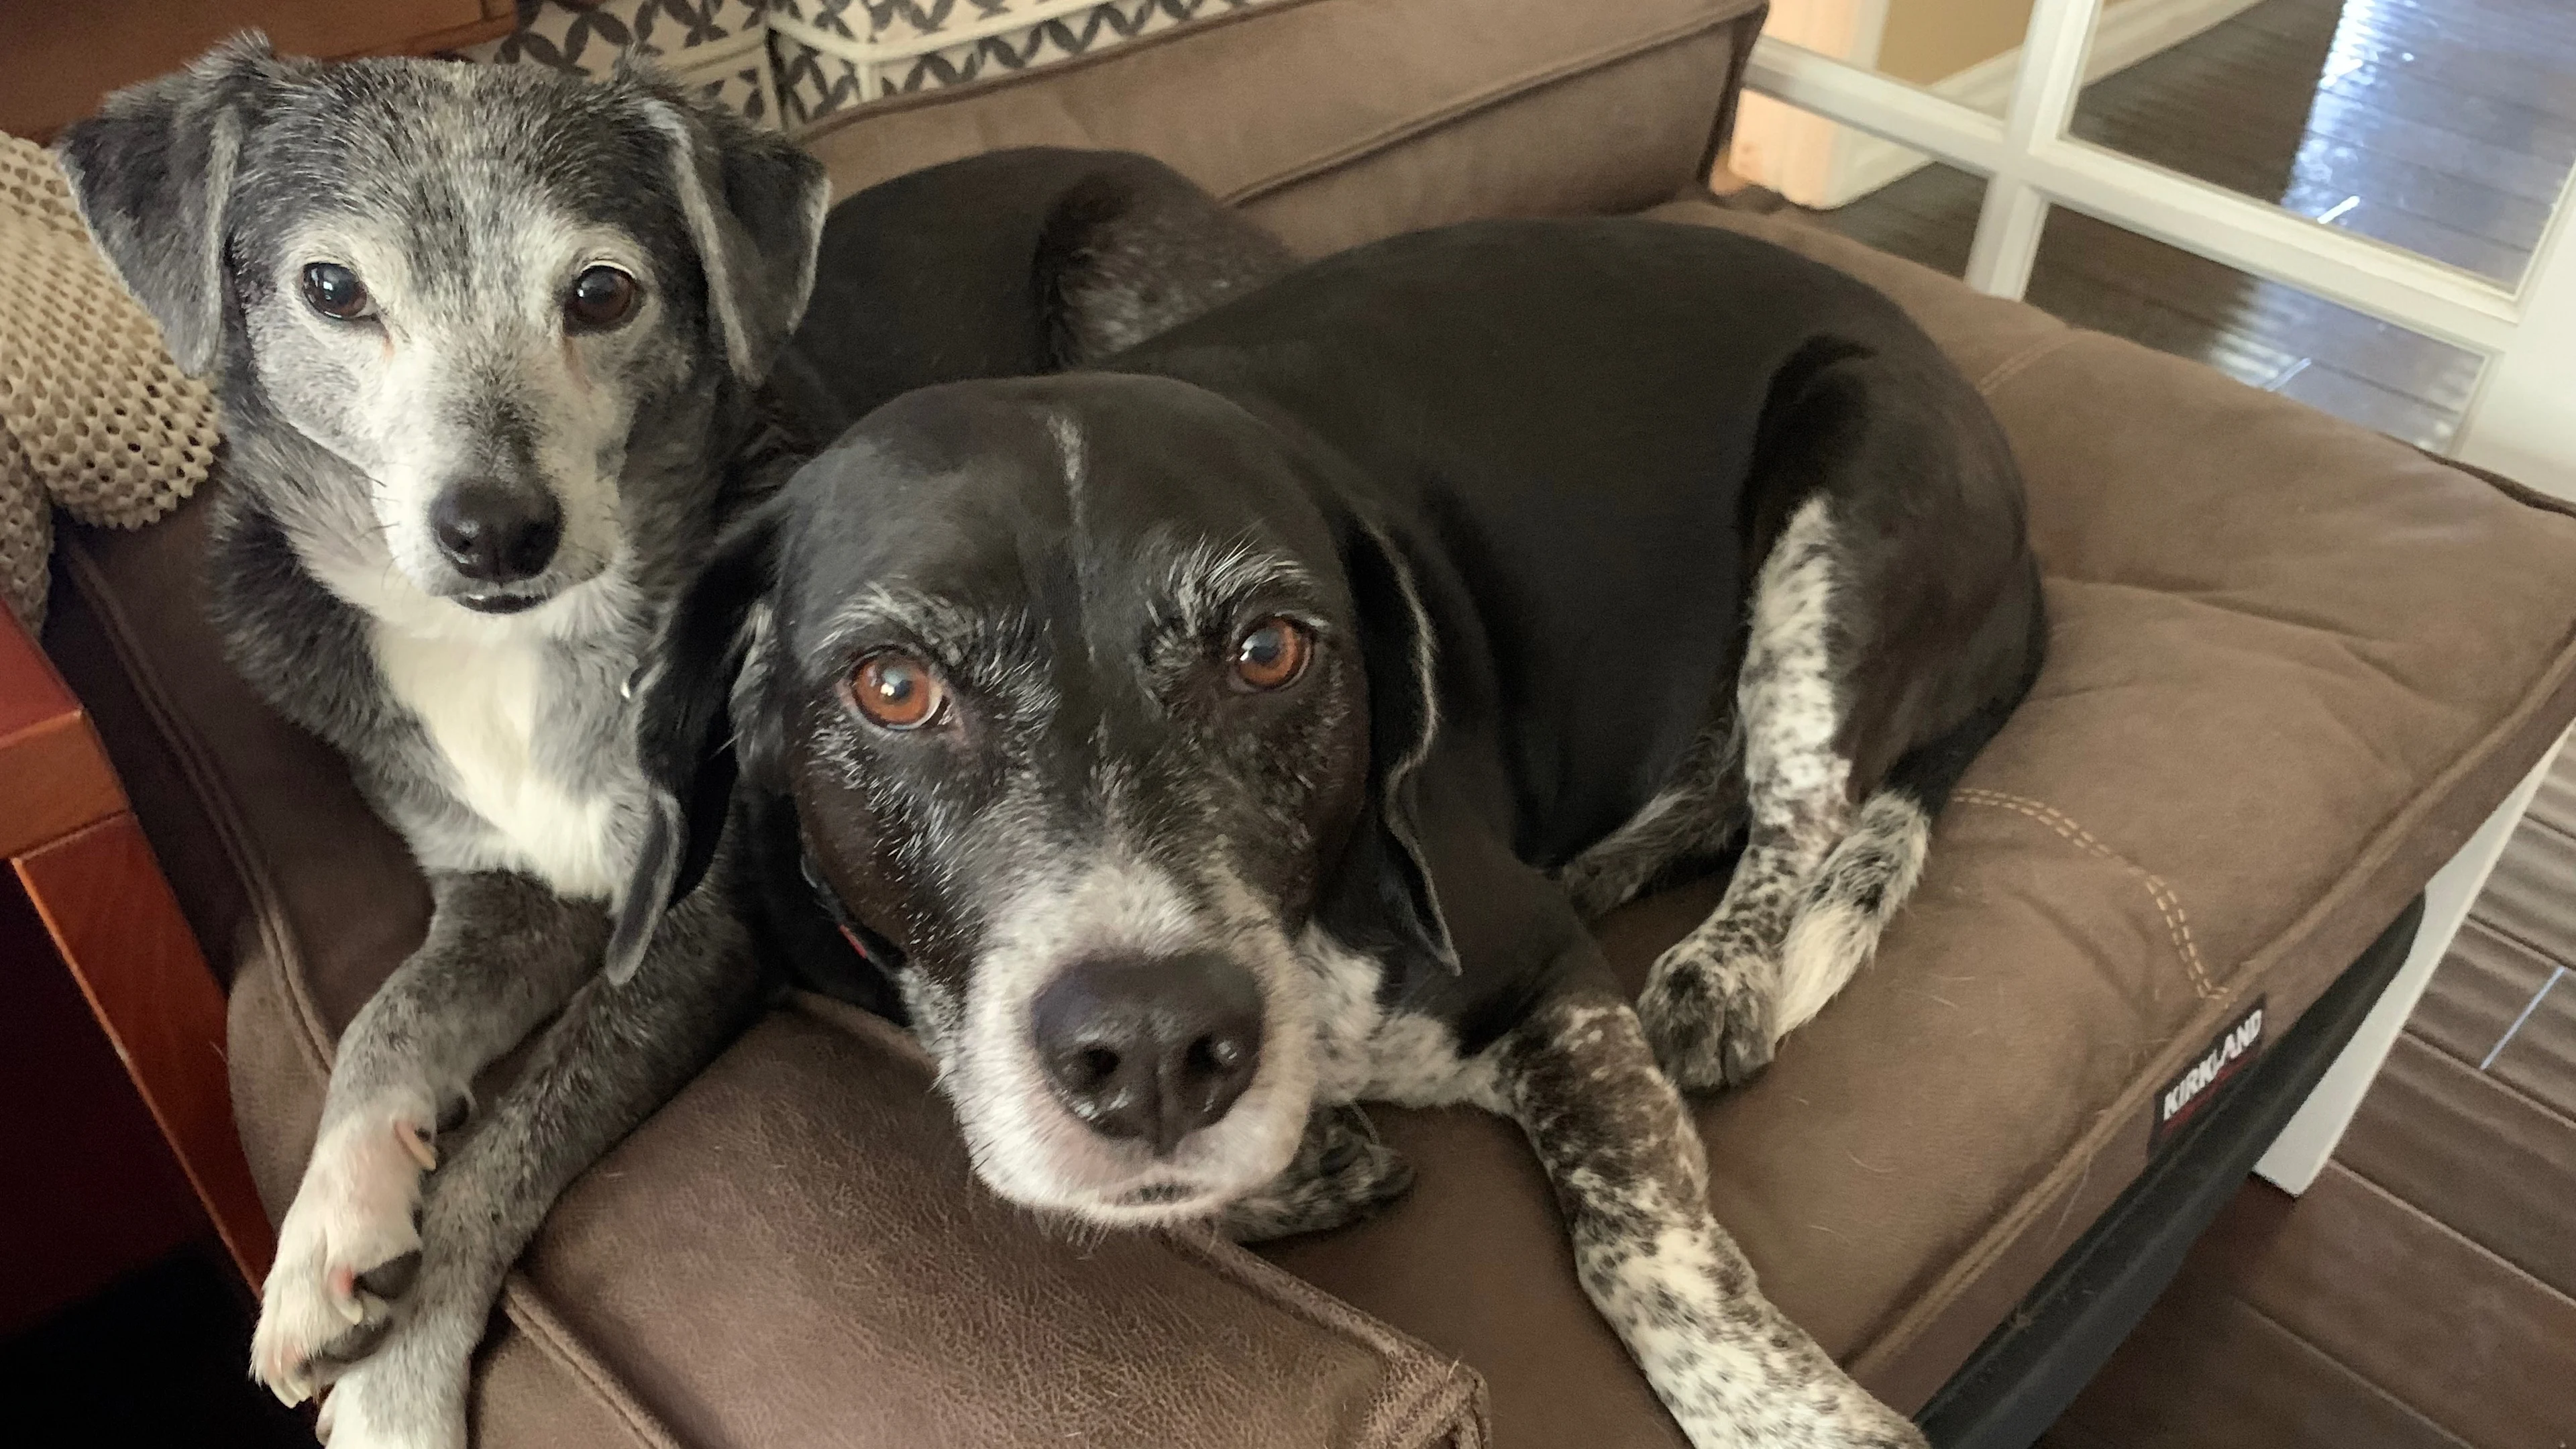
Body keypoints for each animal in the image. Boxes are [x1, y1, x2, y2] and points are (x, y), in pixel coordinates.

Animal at [65, 34, 1288, 1444]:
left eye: (601, 294)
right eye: (330, 288)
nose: (496, 531)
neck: (524, 646)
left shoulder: (706, 920)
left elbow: (510, 1143)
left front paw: (396, 1380)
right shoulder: (498, 888)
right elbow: (381, 1022)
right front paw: (331, 1240)